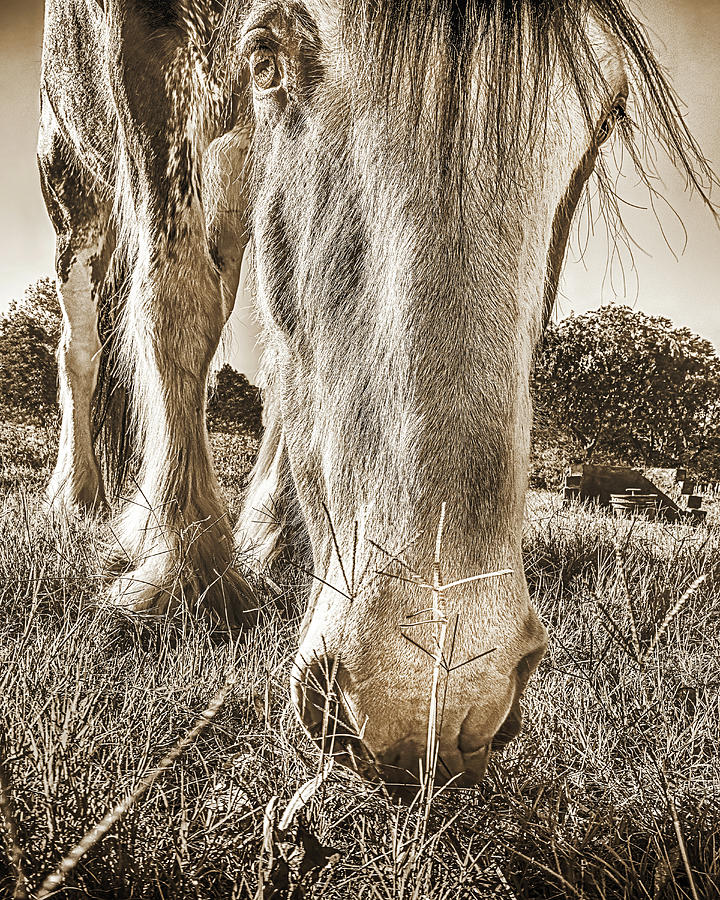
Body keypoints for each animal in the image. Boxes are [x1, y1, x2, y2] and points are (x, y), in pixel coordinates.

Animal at [40, 0, 716, 784]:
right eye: (266, 56)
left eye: (605, 115)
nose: (429, 699)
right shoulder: (143, 55)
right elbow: (175, 297)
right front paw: (181, 569)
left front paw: (262, 540)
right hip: (74, 180)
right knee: (84, 340)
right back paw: (79, 494)